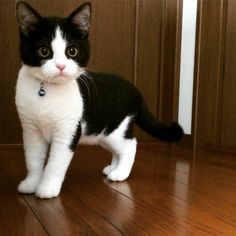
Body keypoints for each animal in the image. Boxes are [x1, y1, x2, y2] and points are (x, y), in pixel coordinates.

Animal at [15, 0, 183, 198]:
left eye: (72, 51)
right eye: (43, 51)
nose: (61, 66)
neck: (47, 91)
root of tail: (135, 89)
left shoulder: (68, 131)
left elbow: (55, 163)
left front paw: (47, 188)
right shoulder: (31, 130)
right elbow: (33, 159)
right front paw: (31, 183)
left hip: (116, 129)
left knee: (129, 145)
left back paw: (120, 173)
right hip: (102, 133)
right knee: (118, 149)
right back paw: (112, 168)